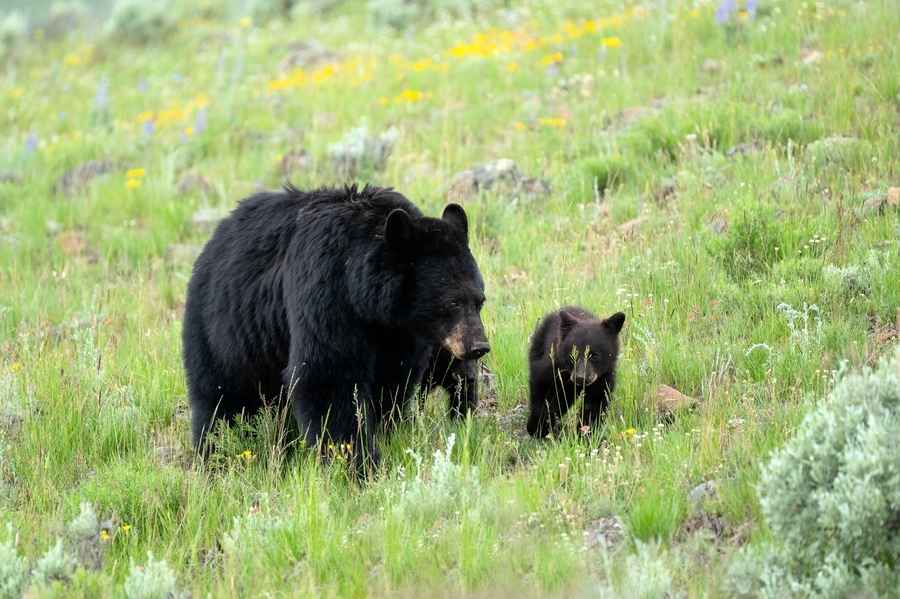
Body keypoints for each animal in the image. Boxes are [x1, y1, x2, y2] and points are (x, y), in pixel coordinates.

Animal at [182, 184, 488, 468]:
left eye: (480, 300)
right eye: (451, 303)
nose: (479, 346)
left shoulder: (400, 335)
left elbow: (392, 382)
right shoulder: (327, 292)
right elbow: (328, 376)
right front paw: (360, 462)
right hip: (227, 332)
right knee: (222, 400)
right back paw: (215, 453)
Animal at [528, 308, 624, 438]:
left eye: (595, 356)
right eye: (574, 354)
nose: (580, 378)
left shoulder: (602, 379)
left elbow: (594, 405)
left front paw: (585, 435)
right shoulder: (555, 369)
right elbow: (541, 389)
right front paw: (537, 427)